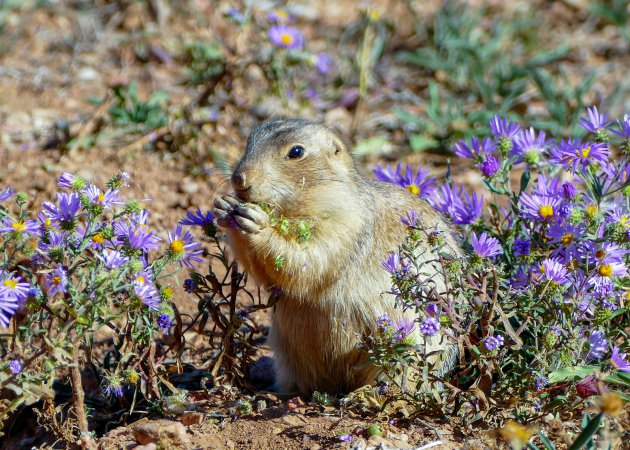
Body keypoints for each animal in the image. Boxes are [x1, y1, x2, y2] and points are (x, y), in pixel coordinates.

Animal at [212, 118, 460, 394]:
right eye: (249, 140)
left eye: (296, 152)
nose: (239, 179)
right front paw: (224, 206)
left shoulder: (346, 222)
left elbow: (312, 257)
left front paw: (257, 223)